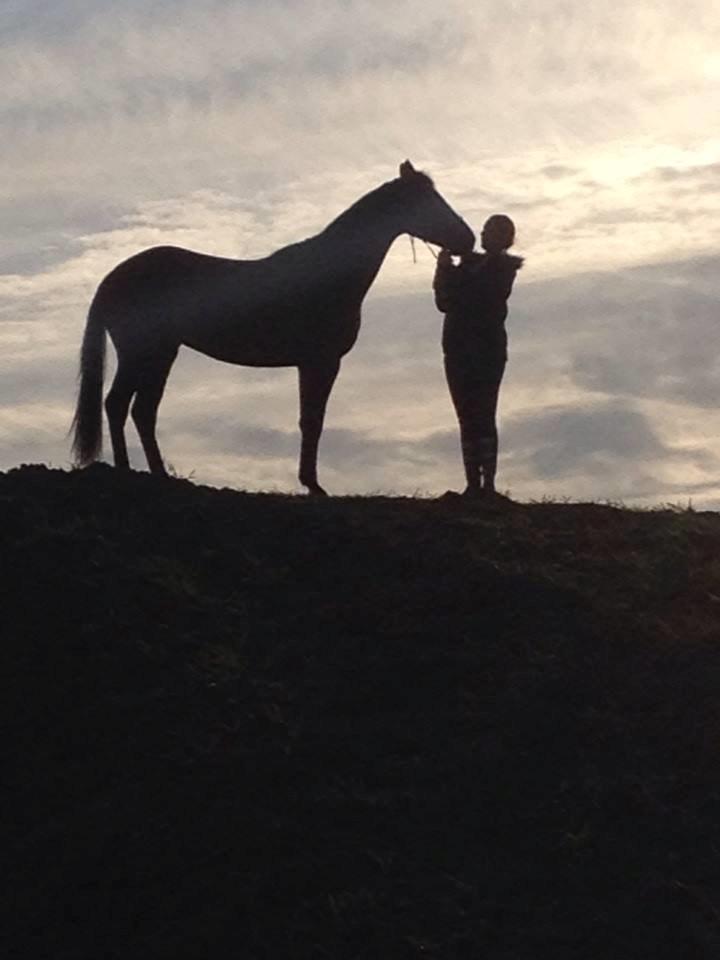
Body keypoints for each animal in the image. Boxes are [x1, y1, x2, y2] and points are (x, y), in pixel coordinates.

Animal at [70, 160, 476, 492]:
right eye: (428, 201)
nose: (468, 239)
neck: (329, 273)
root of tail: (114, 277)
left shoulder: (311, 364)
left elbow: (309, 420)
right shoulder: (321, 362)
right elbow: (313, 420)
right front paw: (313, 485)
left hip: (159, 354)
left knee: (137, 409)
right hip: (146, 352)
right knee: (123, 405)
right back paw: (132, 471)